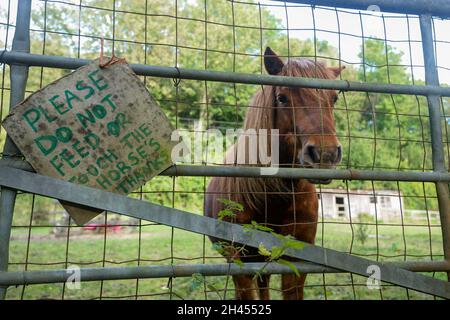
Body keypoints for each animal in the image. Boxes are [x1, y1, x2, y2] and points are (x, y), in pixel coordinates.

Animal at [205, 47, 344, 300]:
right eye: (282, 98)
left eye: (334, 98)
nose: (325, 154)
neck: (272, 198)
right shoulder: (239, 261)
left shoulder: (297, 260)